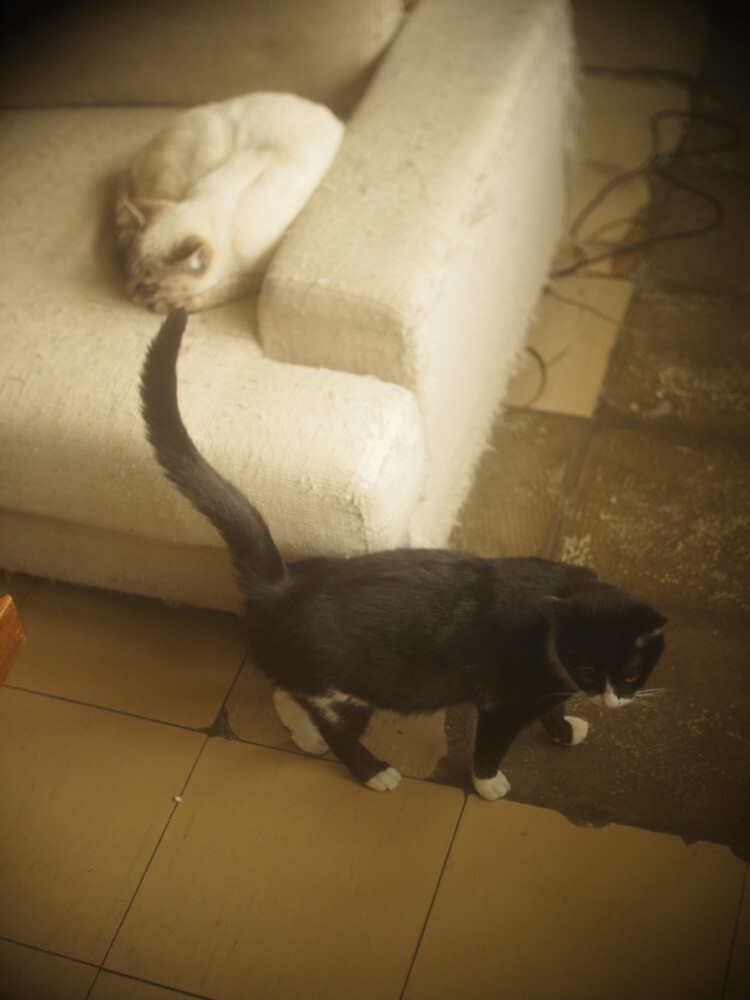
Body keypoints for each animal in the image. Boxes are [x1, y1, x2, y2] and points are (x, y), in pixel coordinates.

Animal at [115, 92, 344, 314]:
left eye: (147, 287)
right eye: (126, 269)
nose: (125, 292)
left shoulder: (263, 272)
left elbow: (226, 288)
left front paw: (174, 305)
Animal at [140, 311, 667, 798]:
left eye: (631, 673)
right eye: (590, 671)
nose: (613, 701)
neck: (559, 607)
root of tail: (280, 584)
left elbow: (555, 708)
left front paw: (565, 729)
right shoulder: (506, 701)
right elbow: (491, 745)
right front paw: (488, 784)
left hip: (316, 679)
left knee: (285, 693)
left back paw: (304, 736)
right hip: (347, 693)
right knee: (335, 727)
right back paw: (373, 771)